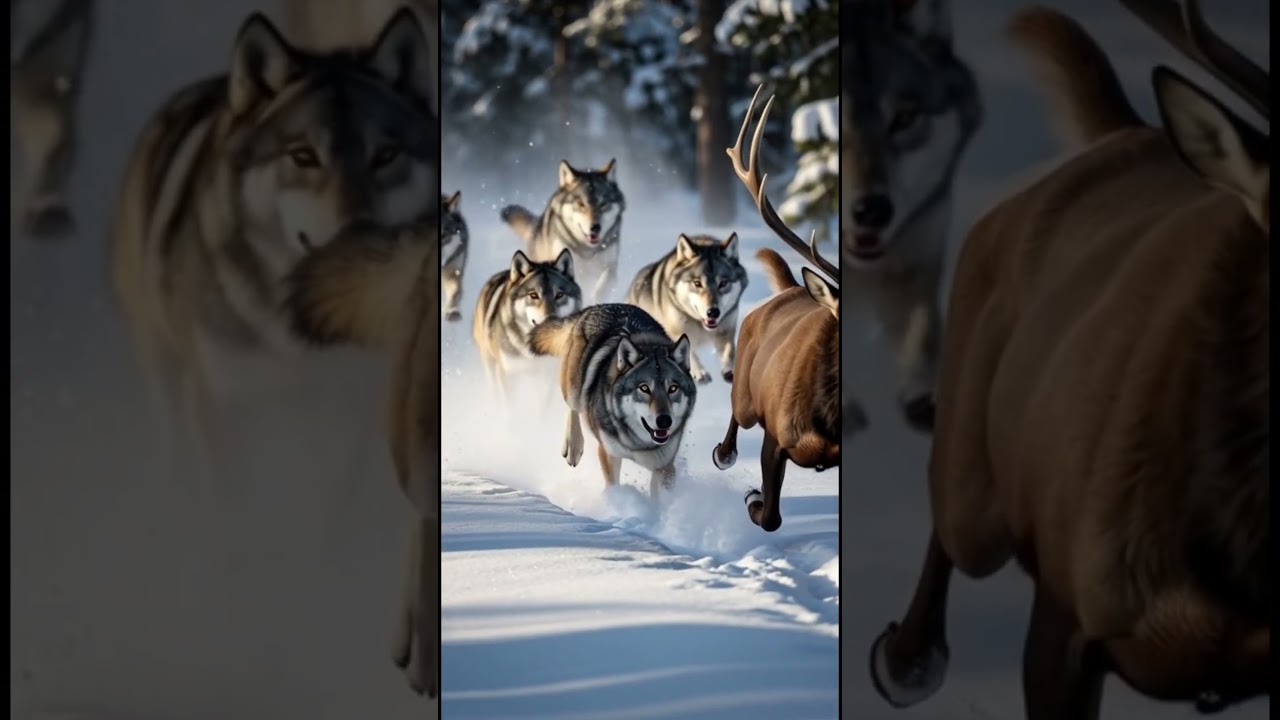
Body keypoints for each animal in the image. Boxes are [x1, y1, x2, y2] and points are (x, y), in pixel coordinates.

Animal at [501, 159, 627, 304]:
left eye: (603, 204)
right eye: (581, 203)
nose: (595, 227)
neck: (587, 250)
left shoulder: (610, 267)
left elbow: (601, 289)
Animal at [529, 304, 697, 498]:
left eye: (673, 388)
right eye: (644, 388)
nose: (664, 421)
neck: (638, 445)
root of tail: (596, 307)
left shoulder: (665, 467)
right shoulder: (609, 453)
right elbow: (613, 485)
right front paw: (617, 502)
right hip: (573, 389)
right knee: (572, 407)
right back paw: (573, 448)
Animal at [626, 232, 748, 385]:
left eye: (723, 283)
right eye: (697, 283)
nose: (713, 312)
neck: (700, 325)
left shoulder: (726, 330)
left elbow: (729, 351)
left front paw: (731, 371)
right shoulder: (676, 331)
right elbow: (689, 351)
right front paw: (700, 373)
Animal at [711, 87, 860, 532]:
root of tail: (794, 287)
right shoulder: (776, 436)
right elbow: (772, 517)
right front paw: (752, 496)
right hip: (746, 390)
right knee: (735, 415)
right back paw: (723, 455)